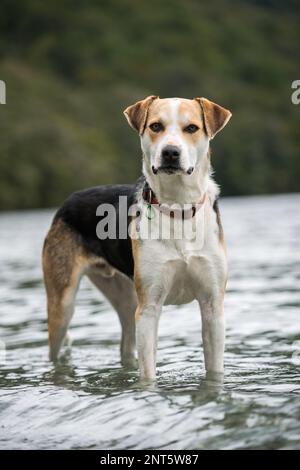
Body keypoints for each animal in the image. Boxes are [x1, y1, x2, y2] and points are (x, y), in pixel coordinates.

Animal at [43, 95, 232, 378]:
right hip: (63, 306)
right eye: (155, 126)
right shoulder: (149, 308)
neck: (177, 207)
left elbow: (215, 371)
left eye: (191, 128)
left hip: (126, 299)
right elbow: (148, 375)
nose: (170, 153)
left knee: (125, 345)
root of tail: (67, 202)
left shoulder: (212, 306)